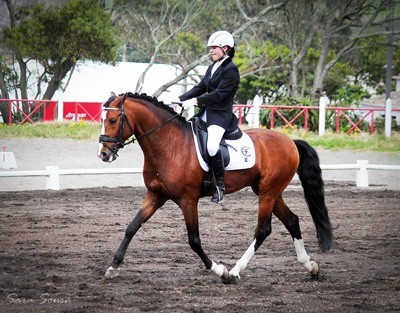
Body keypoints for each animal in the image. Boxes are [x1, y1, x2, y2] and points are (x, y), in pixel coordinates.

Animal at [97, 92, 334, 282]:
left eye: (113, 119)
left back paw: (236, 270)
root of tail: (290, 142)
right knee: (292, 221)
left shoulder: (188, 200)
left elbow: (194, 240)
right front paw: (113, 267)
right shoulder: (155, 195)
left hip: (268, 193)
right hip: (269, 191)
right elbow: (131, 227)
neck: (169, 144)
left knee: (263, 229)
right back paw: (310, 266)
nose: (103, 154)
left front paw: (220, 270)